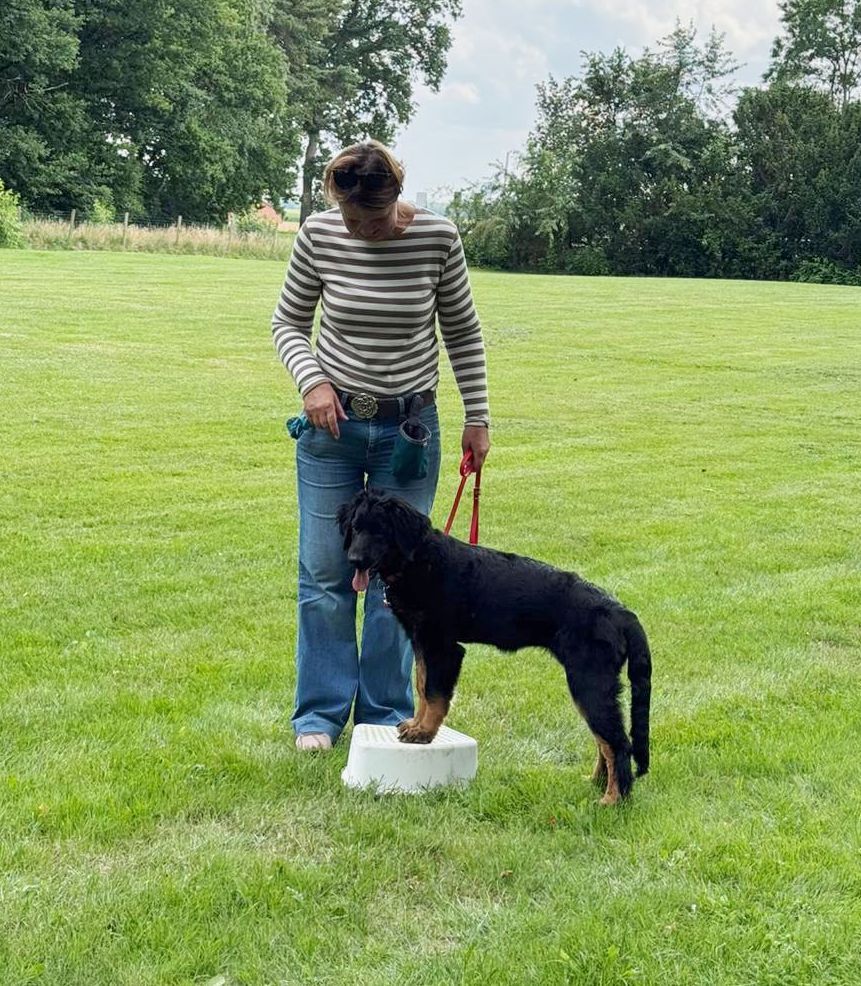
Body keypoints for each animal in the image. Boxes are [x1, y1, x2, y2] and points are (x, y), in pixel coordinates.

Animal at [338, 489, 652, 804]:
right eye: (355, 528)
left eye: (380, 531)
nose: (354, 560)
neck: (419, 561)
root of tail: (621, 613)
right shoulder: (422, 643)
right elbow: (422, 686)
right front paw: (416, 725)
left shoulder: (442, 647)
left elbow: (435, 694)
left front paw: (424, 732)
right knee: (604, 740)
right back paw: (597, 783)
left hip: (589, 680)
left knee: (617, 742)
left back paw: (612, 800)